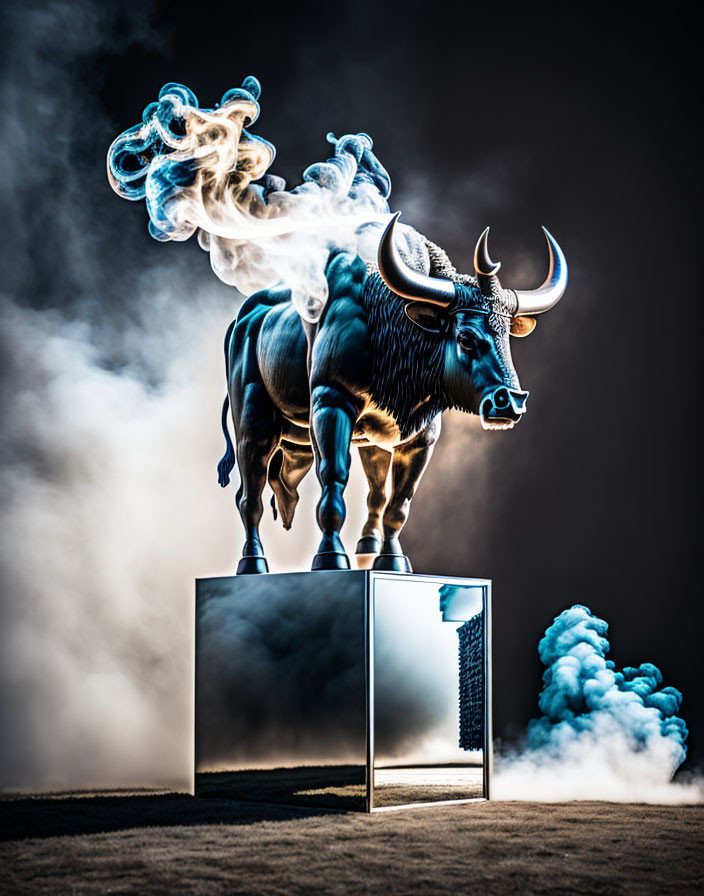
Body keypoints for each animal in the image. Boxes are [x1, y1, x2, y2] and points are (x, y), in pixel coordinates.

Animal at [217, 214, 568, 572]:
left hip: (307, 439)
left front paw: (391, 559)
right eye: (466, 337)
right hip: (254, 424)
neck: (387, 329)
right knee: (250, 495)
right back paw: (252, 562)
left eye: (505, 335)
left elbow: (398, 501)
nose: (508, 402)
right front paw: (330, 556)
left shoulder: (418, 437)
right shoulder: (331, 403)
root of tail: (241, 322)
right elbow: (333, 478)